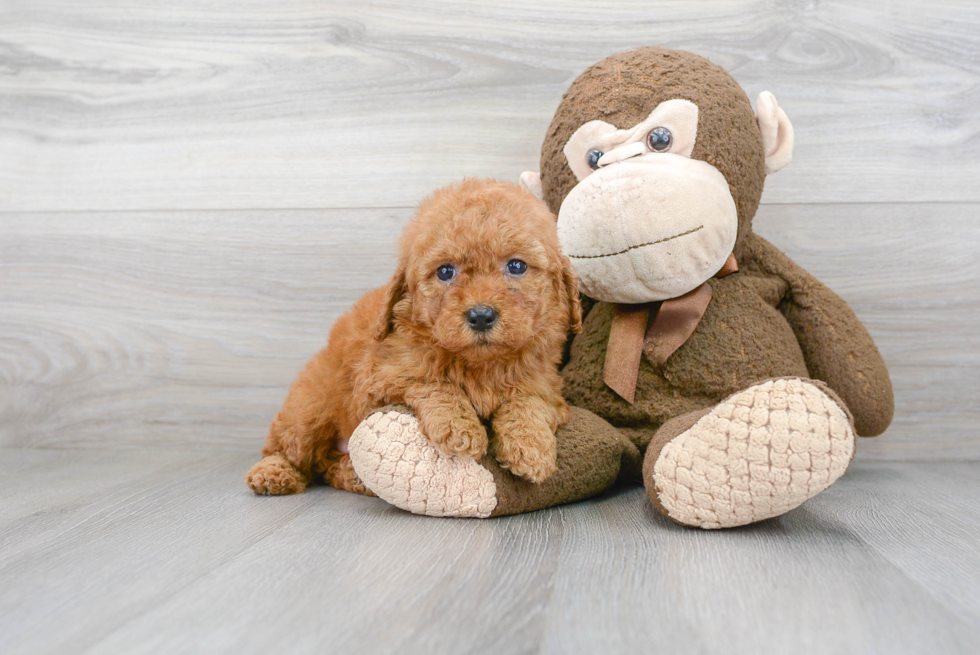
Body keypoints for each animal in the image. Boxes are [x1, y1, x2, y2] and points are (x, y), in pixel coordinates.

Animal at [247, 179, 580, 498]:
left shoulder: (545, 387)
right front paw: (460, 429)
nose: (481, 316)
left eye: (517, 266)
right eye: (445, 272)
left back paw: (353, 476)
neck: (479, 364)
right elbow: (434, 384)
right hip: (310, 409)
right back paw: (273, 474)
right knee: (288, 449)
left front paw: (531, 448)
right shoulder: (379, 380)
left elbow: (528, 403)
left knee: (328, 466)